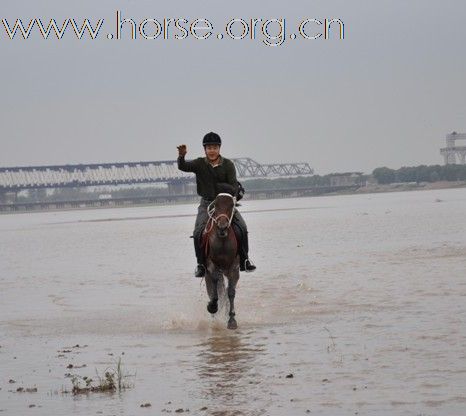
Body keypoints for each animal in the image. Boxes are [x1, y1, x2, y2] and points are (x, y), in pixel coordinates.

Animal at [203, 193, 240, 330]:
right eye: (216, 205)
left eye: (231, 205)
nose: (222, 227)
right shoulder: (212, 267)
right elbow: (215, 292)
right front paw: (212, 307)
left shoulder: (234, 268)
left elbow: (230, 292)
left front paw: (232, 319)